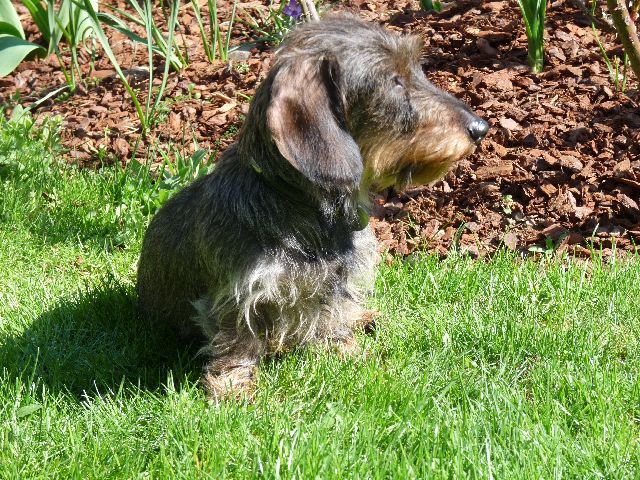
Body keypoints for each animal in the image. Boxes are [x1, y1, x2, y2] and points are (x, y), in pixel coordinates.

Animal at [138, 15, 488, 400]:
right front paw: (231, 387)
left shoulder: (339, 280)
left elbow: (333, 313)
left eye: (417, 71)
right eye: (394, 81)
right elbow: (236, 340)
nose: (481, 128)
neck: (305, 209)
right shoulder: (238, 294)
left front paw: (346, 349)